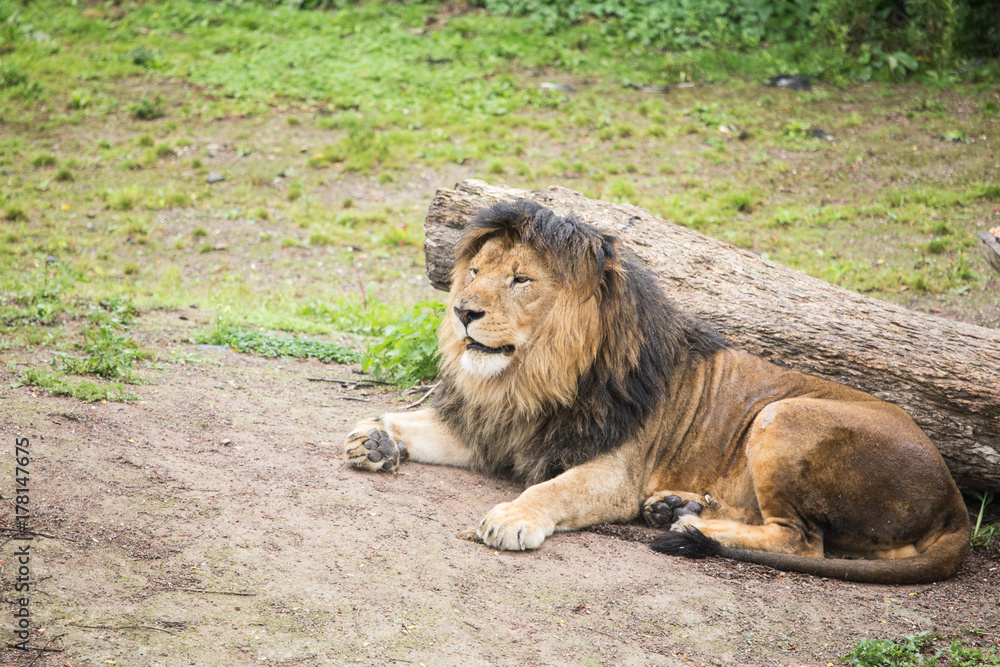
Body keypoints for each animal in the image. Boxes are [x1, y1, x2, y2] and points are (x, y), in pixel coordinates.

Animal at [344, 199, 970, 584]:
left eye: (520, 280)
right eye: (475, 272)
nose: (462, 311)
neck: (534, 380)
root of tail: (955, 502)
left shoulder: (612, 472)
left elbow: (555, 489)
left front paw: (513, 517)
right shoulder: (498, 434)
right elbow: (411, 422)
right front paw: (374, 439)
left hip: (783, 415)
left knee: (804, 541)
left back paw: (689, 525)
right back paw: (677, 506)